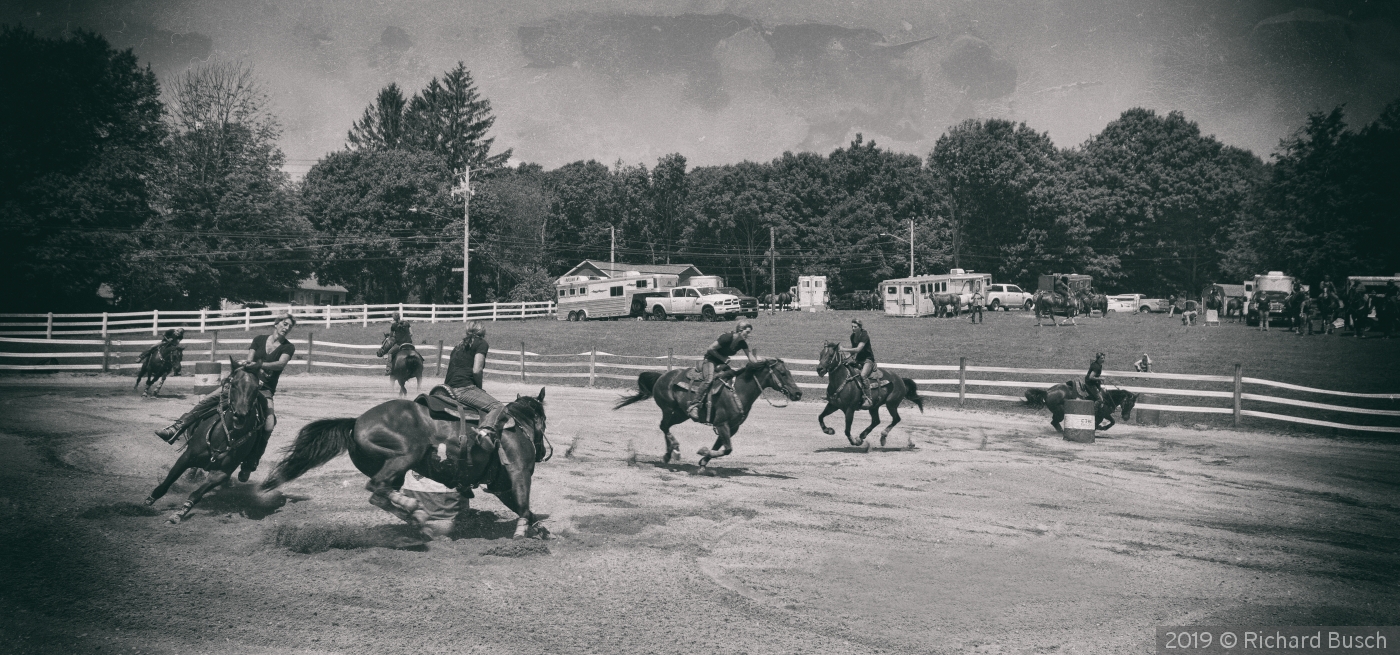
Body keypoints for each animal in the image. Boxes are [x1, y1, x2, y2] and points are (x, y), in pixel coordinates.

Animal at [144, 355, 267, 523]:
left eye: (256, 388)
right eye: (234, 384)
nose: (240, 415)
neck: (225, 437)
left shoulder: (221, 473)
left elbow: (197, 494)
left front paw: (179, 514)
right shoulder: (187, 457)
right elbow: (166, 484)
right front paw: (148, 502)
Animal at [260, 389, 548, 537]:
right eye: (544, 421)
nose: (544, 451)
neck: (513, 425)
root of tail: (356, 422)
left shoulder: (502, 487)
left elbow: (523, 508)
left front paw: (539, 528)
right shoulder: (520, 473)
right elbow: (524, 506)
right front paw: (522, 534)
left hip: (394, 469)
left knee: (379, 493)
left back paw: (417, 517)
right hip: (406, 455)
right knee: (376, 487)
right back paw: (414, 510)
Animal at [610, 358, 800, 470]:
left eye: (789, 372)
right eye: (783, 373)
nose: (798, 393)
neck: (738, 390)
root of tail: (663, 376)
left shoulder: (732, 427)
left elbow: (719, 446)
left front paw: (703, 462)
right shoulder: (722, 424)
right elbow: (728, 449)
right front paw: (702, 452)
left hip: (681, 414)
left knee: (666, 427)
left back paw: (669, 453)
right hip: (668, 408)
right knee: (664, 426)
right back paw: (673, 451)